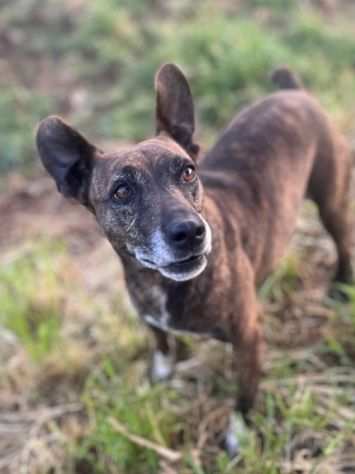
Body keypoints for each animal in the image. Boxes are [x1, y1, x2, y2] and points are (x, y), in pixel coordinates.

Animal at [36, 63, 354, 456]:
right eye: (122, 191)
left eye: (187, 171)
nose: (189, 231)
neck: (157, 282)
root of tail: (294, 92)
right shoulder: (150, 318)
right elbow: (161, 343)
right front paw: (160, 375)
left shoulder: (248, 338)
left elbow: (244, 395)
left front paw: (238, 436)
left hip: (332, 203)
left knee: (343, 241)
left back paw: (341, 284)